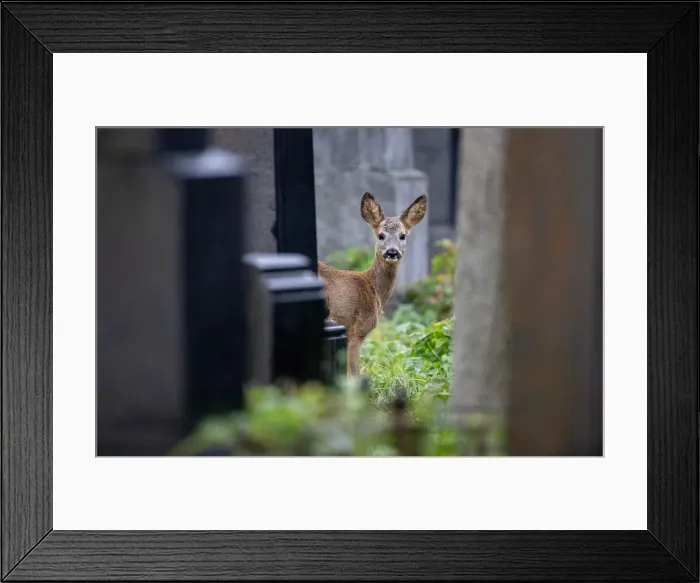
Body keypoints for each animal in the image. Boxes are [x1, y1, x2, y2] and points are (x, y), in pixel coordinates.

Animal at [317, 191, 427, 379]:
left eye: (402, 235)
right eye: (380, 235)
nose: (392, 252)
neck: (372, 287)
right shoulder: (356, 329)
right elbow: (354, 375)